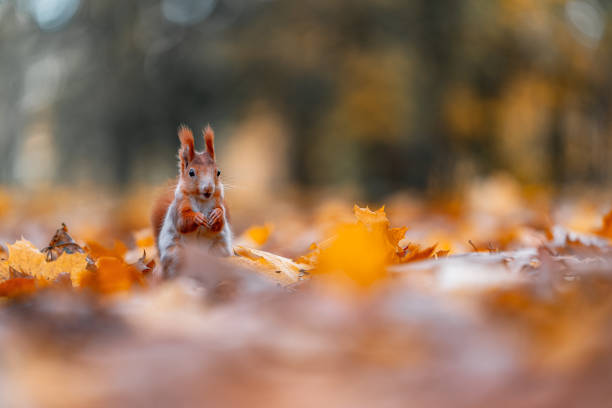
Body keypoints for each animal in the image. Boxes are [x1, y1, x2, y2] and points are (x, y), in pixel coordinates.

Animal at [152, 124, 233, 278]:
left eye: (218, 172)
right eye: (191, 172)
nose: (208, 188)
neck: (201, 200)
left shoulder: (218, 202)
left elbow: (220, 222)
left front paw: (217, 215)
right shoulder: (179, 207)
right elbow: (182, 222)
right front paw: (197, 218)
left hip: (219, 251)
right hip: (176, 254)